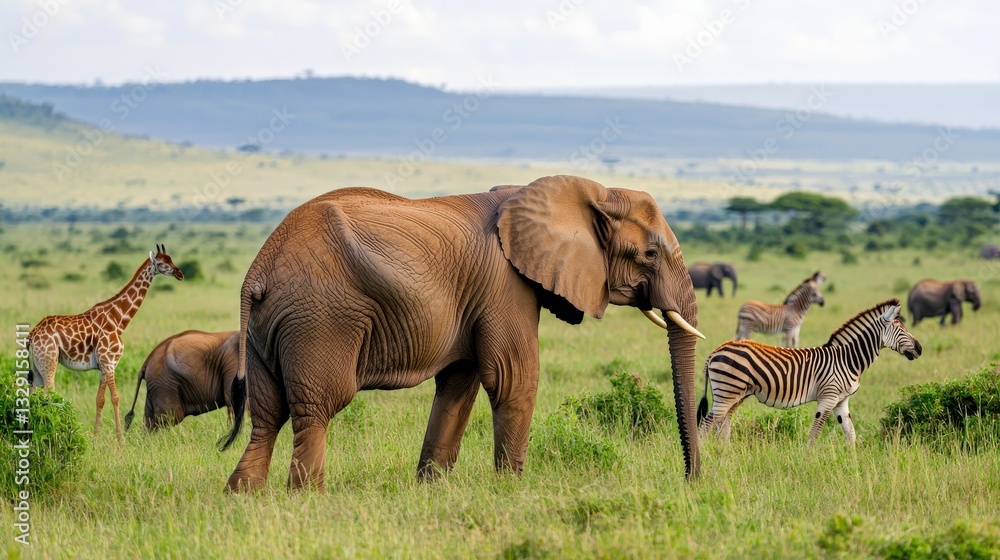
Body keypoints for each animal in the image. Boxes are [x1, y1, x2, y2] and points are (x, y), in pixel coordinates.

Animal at [28, 244, 185, 442]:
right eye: (163, 263)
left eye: (171, 259)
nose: (180, 274)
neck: (119, 319)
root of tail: (31, 335)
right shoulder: (109, 362)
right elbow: (115, 398)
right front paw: (121, 439)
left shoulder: (104, 365)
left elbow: (100, 399)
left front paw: (97, 435)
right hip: (49, 361)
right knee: (49, 393)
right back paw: (54, 434)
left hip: (37, 365)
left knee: (33, 392)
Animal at [218, 175, 705, 492]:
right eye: (649, 253)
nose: (692, 481)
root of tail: (259, 270)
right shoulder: (505, 284)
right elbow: (512, 377)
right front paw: (512, 489)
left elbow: (459, 384)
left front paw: (430, 488)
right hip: (321, 319)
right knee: (318, 407)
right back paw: (306, 498)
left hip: (269, 327)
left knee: (268, 415)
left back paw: (243, 496)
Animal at [698, 298, 922, 443]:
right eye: (901, 329)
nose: (920, 349)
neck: (847, 359)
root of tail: (715, 351)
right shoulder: (828, 398)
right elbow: (814, 435)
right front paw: (808, 462)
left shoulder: (841, 402)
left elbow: (851, 435)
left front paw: (854, 465)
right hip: (727, 391)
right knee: (706, 426)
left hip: (735, 394)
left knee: (722, 425)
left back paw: (724, 455)